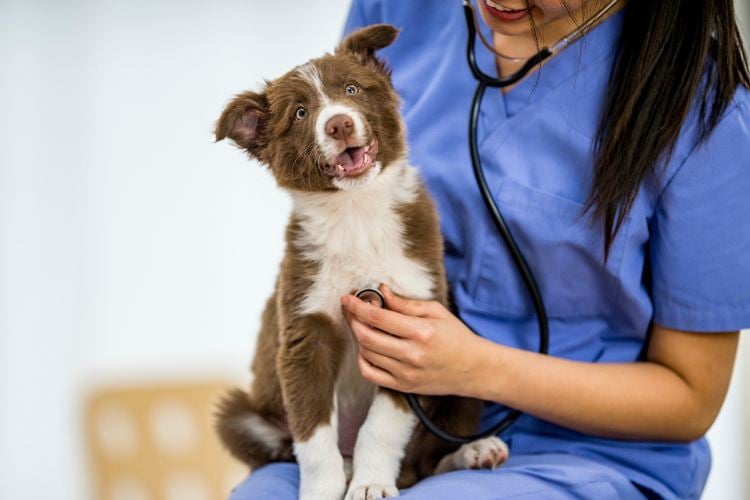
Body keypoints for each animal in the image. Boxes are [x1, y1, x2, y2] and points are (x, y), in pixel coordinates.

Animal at [217, 24, 512, 500]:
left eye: (352, 89)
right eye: (300, 113)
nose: (339, 123)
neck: (355, 214)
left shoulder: (409, 329)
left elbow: (383, 424)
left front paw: (373, 483)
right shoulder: (306, 332)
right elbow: (313, 435)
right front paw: (323, 490)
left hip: (467, 368)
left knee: (425, 462)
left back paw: (472, 452)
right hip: (239, 413)